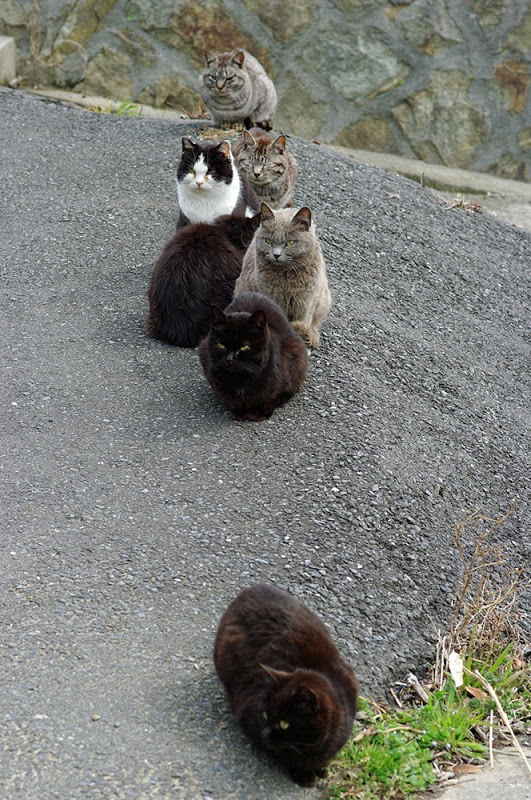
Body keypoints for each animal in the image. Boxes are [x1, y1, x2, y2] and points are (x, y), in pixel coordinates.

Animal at [198, 290, 308, 422]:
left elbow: (271, 397)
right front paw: (238, 410)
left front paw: (258, 412)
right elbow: (233, 399)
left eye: (244, 348)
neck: (241, 379)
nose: (229, 359)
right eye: (221, 345)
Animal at [214, 580, 360, 788]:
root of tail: (252, 588)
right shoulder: (248, 708)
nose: (265, 733)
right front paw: (304, 773)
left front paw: (321, 767)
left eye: (285, 724)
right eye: (265, 714)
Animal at [235, 202, 330, 348]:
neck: (287, 278)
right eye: (268, 241)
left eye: (290, 242)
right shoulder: (269, 298)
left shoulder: (306, 303)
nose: (276, 254)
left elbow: (303, 321)